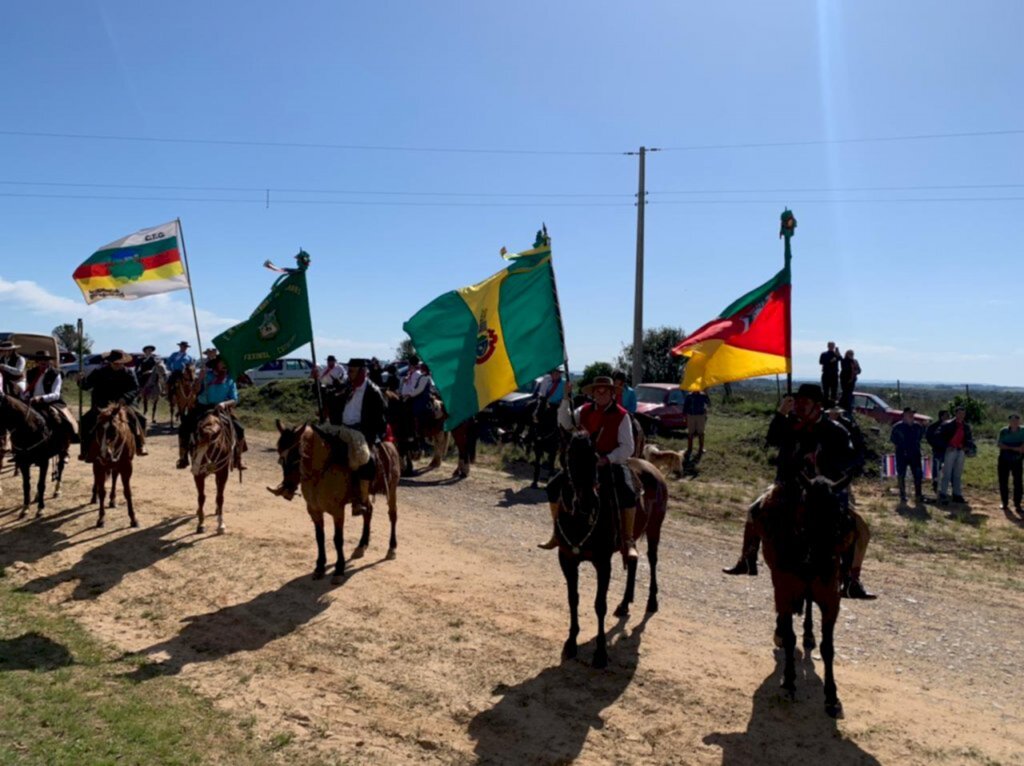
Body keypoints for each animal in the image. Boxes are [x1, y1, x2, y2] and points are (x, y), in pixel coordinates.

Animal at [272, 421, 399, 581]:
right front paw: (320, 567)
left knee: (392, 516)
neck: (320, 474)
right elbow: (320, 537)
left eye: (296, 453)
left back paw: (392, 548)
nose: (287, 488)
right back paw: (361, 546)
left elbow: (338, 539)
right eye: (279, 451)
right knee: (368, 512)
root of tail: (390, 444)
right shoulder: (314, 510)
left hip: (392, 490)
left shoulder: (338, 511)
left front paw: (339, 570)